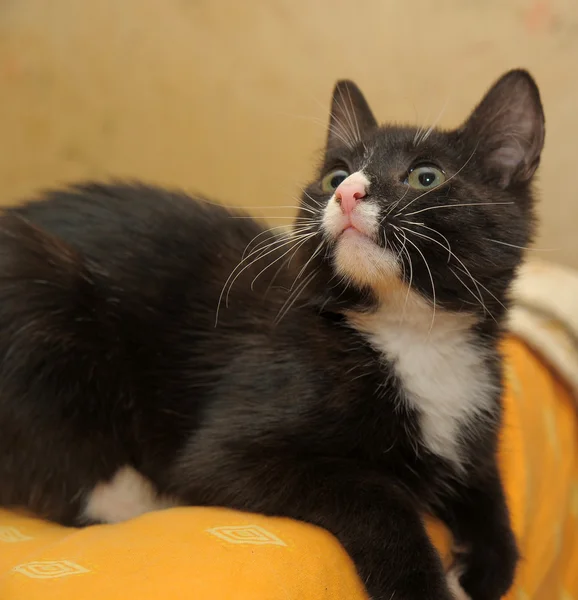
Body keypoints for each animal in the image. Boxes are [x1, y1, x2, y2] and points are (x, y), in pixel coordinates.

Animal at [0, 67, 544, 600]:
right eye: (335, 175)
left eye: (425, 177)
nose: (348, 193)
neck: (410, 332)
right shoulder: (228, 447)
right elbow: (372, 491)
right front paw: (422, 584)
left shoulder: (471, 422)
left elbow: (488, 493)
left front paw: (485, 567)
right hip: (29, 277)